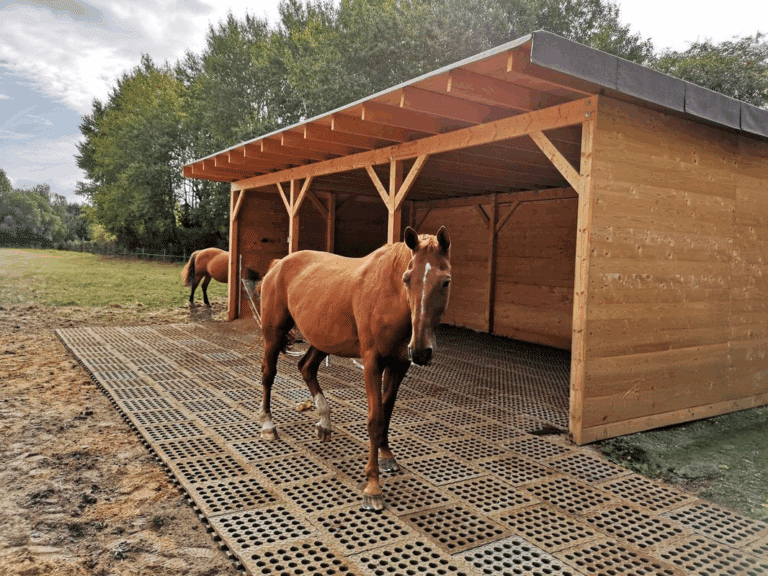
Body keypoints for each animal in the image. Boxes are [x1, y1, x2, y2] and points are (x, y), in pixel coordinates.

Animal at [258, 226, 451, 511]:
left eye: (445, 281)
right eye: (407, 279)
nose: (420, 351)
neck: (387, 294)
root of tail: (278, 264)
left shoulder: (399, 365)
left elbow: (387, 412)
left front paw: (386, 455)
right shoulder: (372, 363)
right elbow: (375, 418)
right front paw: (372, 486)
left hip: (323, 338)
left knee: (306, 368)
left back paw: (324, 422)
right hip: (273, 334)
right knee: (268, 375)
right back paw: (269, 426)